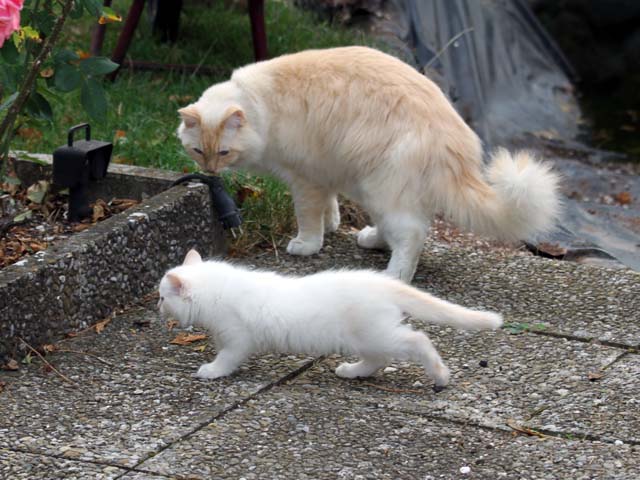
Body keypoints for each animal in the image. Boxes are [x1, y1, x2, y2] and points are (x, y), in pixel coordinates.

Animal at [158, 249, 503, 388]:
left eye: (162, 297)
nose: (157, 308)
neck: (218, 290)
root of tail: (380, 281)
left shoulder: (237, 338)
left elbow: (227, 358)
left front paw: (212, 371)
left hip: (376, 334)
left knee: (418, 339)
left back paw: (440, 375)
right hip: (367, 339)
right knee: (377, 360)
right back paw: (352, 371)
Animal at [176, 46, 561, 282]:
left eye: (223, 153)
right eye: (198, 152)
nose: (210, 172)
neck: (261, 105)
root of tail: (455, 140)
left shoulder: (304, 179)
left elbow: (307, 217)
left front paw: (307, 244)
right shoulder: (323, 173)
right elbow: (328, 208)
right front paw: (332, 226)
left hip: (381, 188)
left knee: (412, 235)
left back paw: (395, 276)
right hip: (374, 188)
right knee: (404, 228)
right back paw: (373, 240)